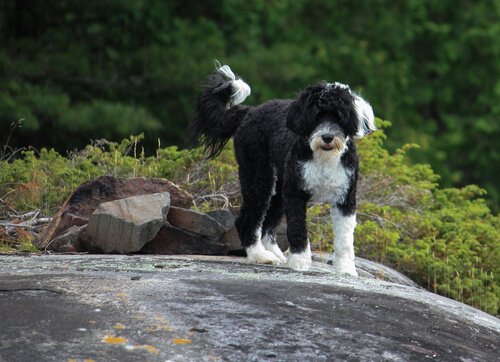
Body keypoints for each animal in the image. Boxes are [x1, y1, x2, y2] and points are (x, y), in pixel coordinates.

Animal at [191, 63, 376, 276]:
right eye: (316, 116)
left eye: (339, 117)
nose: (328, 137)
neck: (323, 157)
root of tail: (249, 111)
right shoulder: (295, 193)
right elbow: (297, 228)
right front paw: (300, 262)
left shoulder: (345, 198)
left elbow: (345, 238)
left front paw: (346, 269)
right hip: (258, 176)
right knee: (247, 220)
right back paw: (260, 256)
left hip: (279, 188)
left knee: (267, 223)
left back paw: (275, 253)